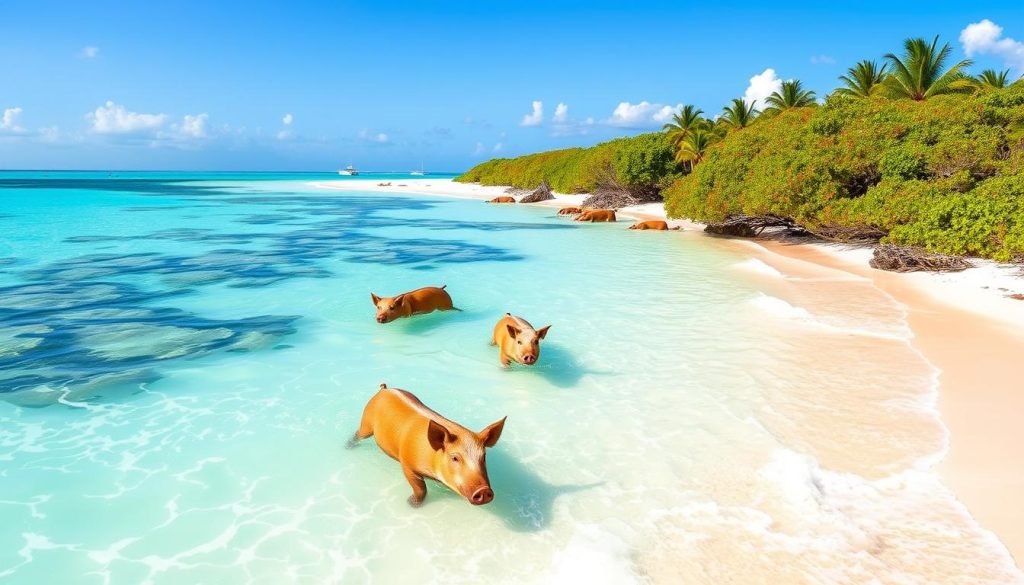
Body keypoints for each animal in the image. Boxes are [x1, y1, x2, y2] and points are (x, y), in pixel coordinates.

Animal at [348, 383, 507, 507]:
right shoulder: (407, 464)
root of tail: (384, 390)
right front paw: (410, 503)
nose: (484, 490)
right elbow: (421, 488)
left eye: (484, 457)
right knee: (358, 434)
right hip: (366, 422)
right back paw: (348, 447)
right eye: (455, 458)